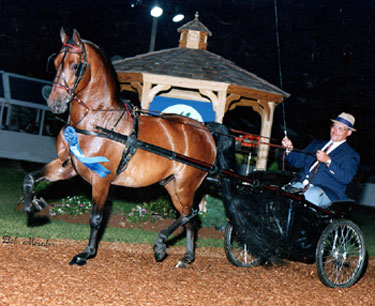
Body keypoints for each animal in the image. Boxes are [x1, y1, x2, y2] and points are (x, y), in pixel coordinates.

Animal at [22, 28, 217, 268]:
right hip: (172, 186)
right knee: (189, 217)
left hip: (185, 185)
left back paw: (161, 245)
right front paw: (34, 205)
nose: (55, 103)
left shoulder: (101, 180)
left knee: (191, 214)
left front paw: (86, 253)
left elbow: (96, 218)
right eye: (57, 62)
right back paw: (186, 257)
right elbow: (30, 178)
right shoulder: (67, 166)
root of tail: (205, 132)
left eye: (75, 66)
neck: (97, 122)